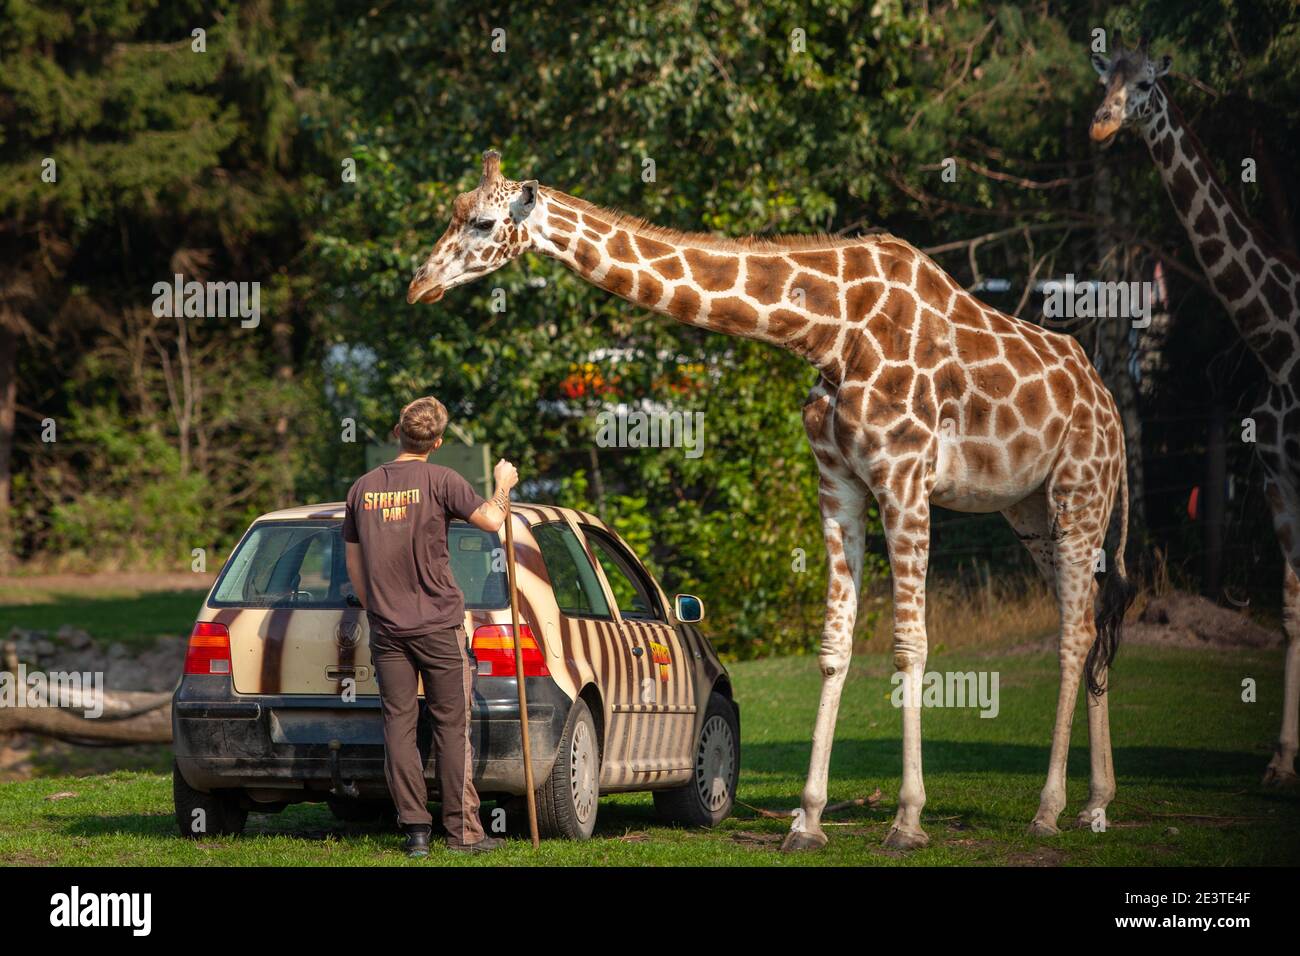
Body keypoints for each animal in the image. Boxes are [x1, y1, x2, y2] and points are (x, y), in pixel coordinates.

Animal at [410, 153, 1133, 848]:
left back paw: (1050, 810)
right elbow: (834, 643)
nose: (419, 284)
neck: (830, 329)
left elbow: (910, 644)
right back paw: (1095, 806)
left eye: (482, 223)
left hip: (1080, 491)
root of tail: (1111, 407)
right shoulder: (839, 481)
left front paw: (906, 820)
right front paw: (806, 820)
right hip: (1029, 510)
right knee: (1090, 617)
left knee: (1074, 632)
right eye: (452, 214)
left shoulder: (905, 477)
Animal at [1086, 42, 1300, 785]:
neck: (1278, 338)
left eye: (1149, 85)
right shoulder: (1276, 475)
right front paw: (1281, 762)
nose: (1100, 124)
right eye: (1105, 81)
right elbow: (1292, 607)